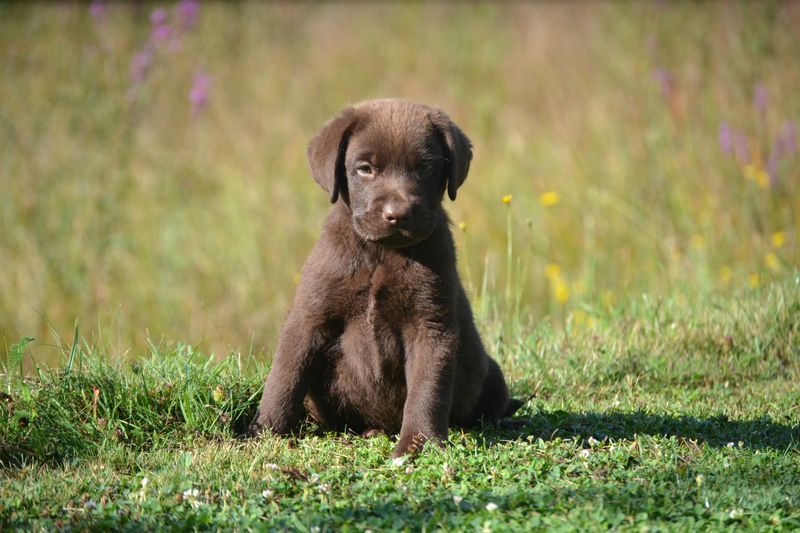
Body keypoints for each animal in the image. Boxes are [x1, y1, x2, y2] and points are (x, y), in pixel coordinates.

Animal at [252, 97, 524, 456]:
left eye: (424, 168)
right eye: (365, 169)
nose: (397, 215)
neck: (380, 253)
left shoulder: (430, 325)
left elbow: (427, 390)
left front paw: (417, 444)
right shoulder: (310, 316)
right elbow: (284, 378)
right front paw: (265, 431)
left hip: (491, 373)